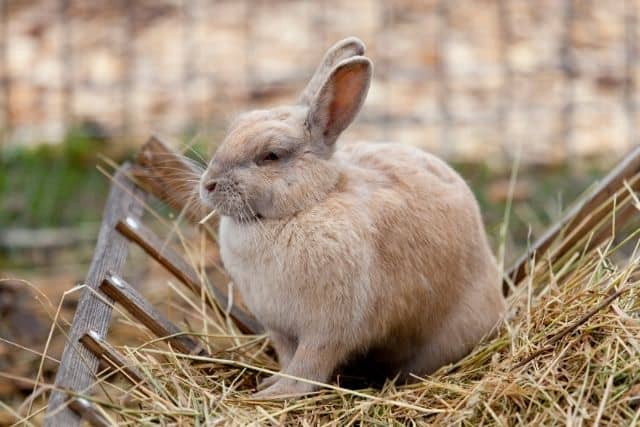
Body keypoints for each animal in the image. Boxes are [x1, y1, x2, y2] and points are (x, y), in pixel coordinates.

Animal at [199, 37, 505, 398]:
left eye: (271, 155)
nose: (208, 184)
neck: (306, 204)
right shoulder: (279, 329)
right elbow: (288, 358)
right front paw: (271, 383)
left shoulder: (327, 329)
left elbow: (308, 366)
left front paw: (278, 393)